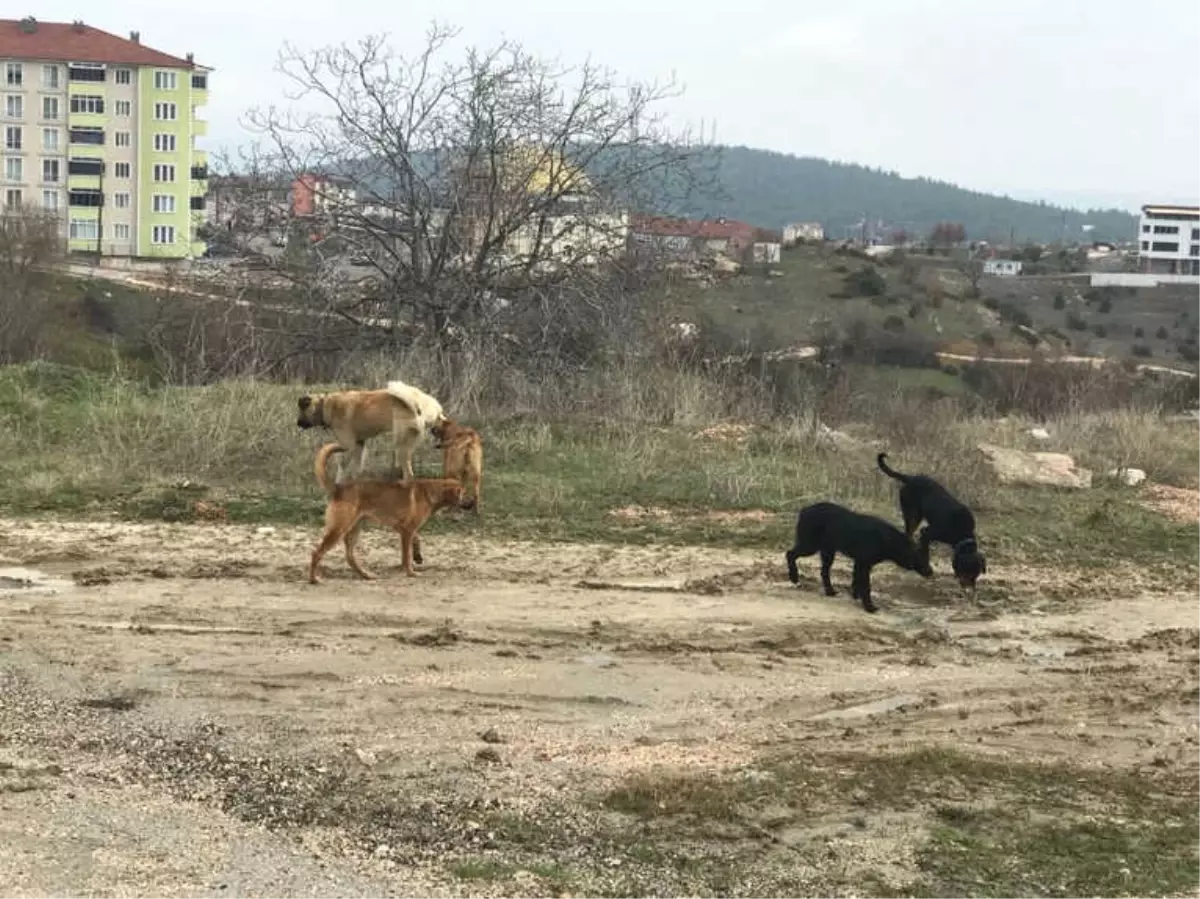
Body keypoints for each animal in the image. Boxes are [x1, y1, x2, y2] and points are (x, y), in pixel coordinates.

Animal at [297, 379, 448, 484]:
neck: (324, 405)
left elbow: (342, 467)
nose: (297, 423)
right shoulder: (359, 444)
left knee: (409, 475)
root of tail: (422, 403)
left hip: (401, 446)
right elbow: (356, 469)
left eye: (301, 410)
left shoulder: (349, 446)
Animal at [309, 439, 472, 583]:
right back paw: (314, 579)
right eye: (464, 493)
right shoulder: (407, 531)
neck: (431, 491)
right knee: (317, 553)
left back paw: (366, 575)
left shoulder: (404, 529)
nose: (473, 503)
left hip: (353, 530)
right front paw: (410, 572)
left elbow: (413, 543)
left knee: (350, 557)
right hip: (339, 530)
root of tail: (338, 488)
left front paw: (416, 557)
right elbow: (406, 556)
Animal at [782, 501, 931, 614]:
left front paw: (855, 596)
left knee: (824, 571)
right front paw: (870, 607)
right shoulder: (864, 564)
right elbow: (866, 586)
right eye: (921, 557)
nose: (931, 572)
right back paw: (794, 577)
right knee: (790, 554)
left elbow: (856, 581)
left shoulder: (859, 562)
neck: (888, 540)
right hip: (810, 545)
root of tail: (804, 510)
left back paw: (830, 592)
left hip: (827, 551)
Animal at [878, 448, 988, 588]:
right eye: (967, 571)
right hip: (912, 514)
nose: (970, 587)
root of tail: (910, 478)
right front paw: (926, 570)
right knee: (908, 533)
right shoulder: (927, 533)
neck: (961, 532)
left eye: (976, 574)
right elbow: (925, 553)